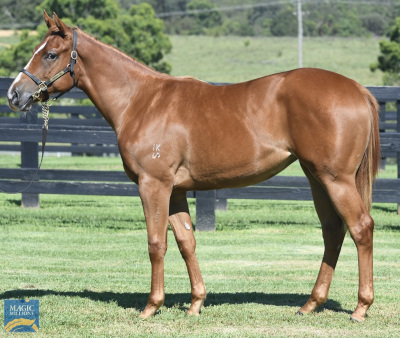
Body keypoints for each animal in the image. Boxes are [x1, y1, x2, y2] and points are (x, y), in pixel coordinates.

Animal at [7, 11, 380, 320]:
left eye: (50, 54)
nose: (14, 94)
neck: (141, 101)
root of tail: (357, 89)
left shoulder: (153, 184)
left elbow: (156, 244)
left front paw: (151, 307)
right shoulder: (175, 191)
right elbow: (186, 242)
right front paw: (196, 303)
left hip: (336, 179)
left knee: (360, 228)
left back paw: (361, 308)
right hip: (317, 178)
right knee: (333, 231)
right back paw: (310, 304)